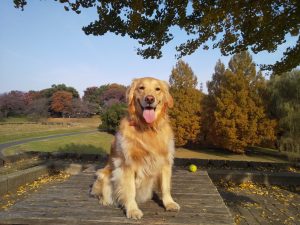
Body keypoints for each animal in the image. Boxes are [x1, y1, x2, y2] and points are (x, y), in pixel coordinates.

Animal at [91, 77, 180, 220]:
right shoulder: (127, 165)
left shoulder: (165, 162)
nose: (149, 99)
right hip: (103, 174)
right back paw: (104, 200)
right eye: (141, 88)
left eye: (157, 89)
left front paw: (169, 203)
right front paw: (132, 210)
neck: (148, 128)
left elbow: (166, 187)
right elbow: (130, 190)